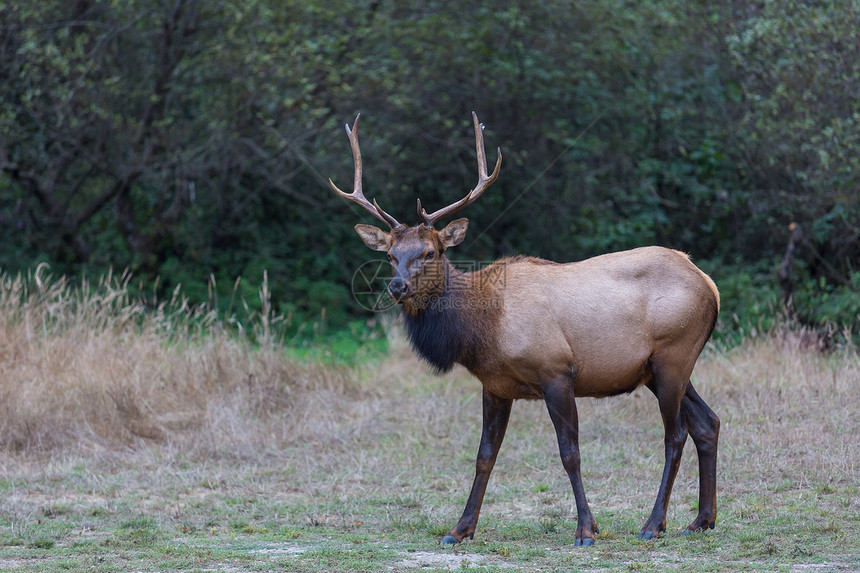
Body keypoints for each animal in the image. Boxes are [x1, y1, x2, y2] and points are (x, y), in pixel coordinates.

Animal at [330, 111, 720, 544]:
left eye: (430, 252)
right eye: (391, 255)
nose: (397, 286)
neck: (481, 330)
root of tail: (710, 285)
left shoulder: (557, 372)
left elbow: (570, 453)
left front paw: (586, 529)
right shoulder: (495, 386)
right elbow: (484, 456)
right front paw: (460, 528)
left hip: (673, 355)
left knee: (676, 434)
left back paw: (654, 524)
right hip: (659, 368)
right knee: (707, 422)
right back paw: (701, 520)